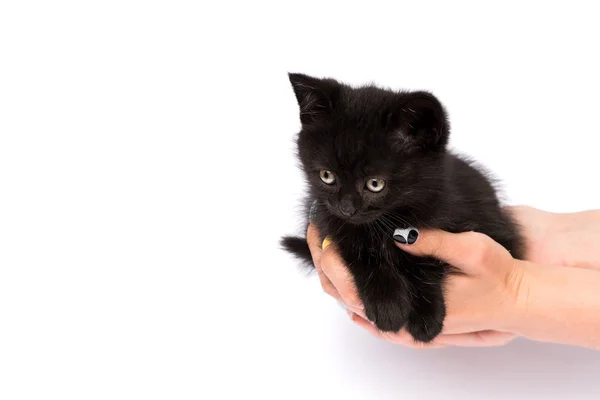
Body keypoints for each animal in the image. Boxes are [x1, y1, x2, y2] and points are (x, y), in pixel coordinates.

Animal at [282, 73, 520, 342]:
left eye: (375, 183)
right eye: (326, 176)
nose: (346, 208)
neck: (388, 221)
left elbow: (426, 263)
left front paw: (426, 315)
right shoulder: (327, 218)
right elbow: (360, 251)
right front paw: (387, 304)